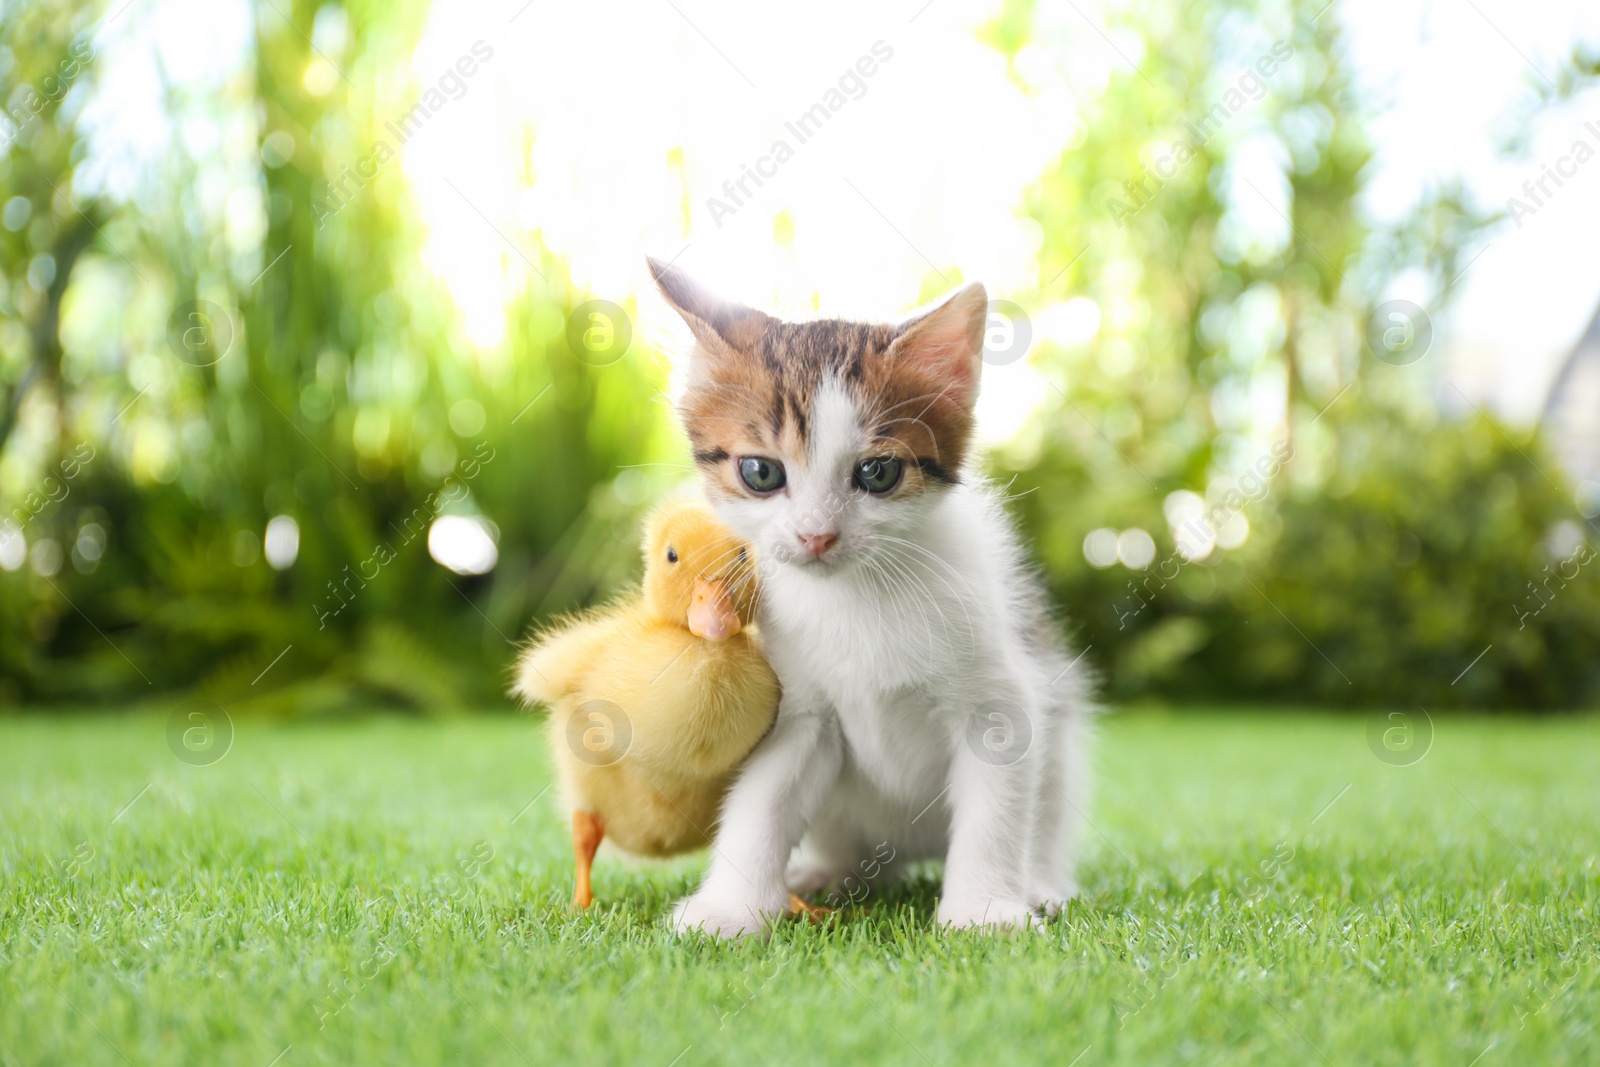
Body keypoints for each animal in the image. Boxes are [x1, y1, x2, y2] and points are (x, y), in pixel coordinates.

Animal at [646, 259, 1088, 934]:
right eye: (761, 472)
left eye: (877, 473)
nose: (816, 535)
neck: (857, 592)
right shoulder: (802, 709)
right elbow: (761, 799)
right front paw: (730, 908)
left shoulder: (1000, 702)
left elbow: (995, 811)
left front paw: (985, 910)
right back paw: (826, 873)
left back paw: (1039, 883)